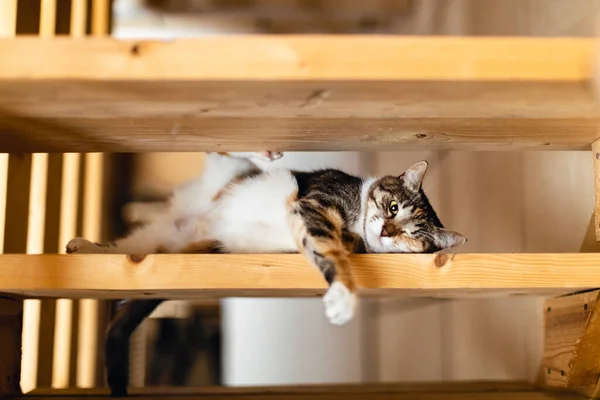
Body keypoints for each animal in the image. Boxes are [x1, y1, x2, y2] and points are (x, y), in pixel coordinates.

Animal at [67, 151, 468, 396]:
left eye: (411, 235)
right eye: (393, 206)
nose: (386, 230)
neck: (355, 223)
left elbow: (326, 249)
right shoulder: (317, 203)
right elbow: (330, 247)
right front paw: (343, 298)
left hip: (163, 242)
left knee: (130, 249)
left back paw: (89, 249)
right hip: (226, 175)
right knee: (223, 153)